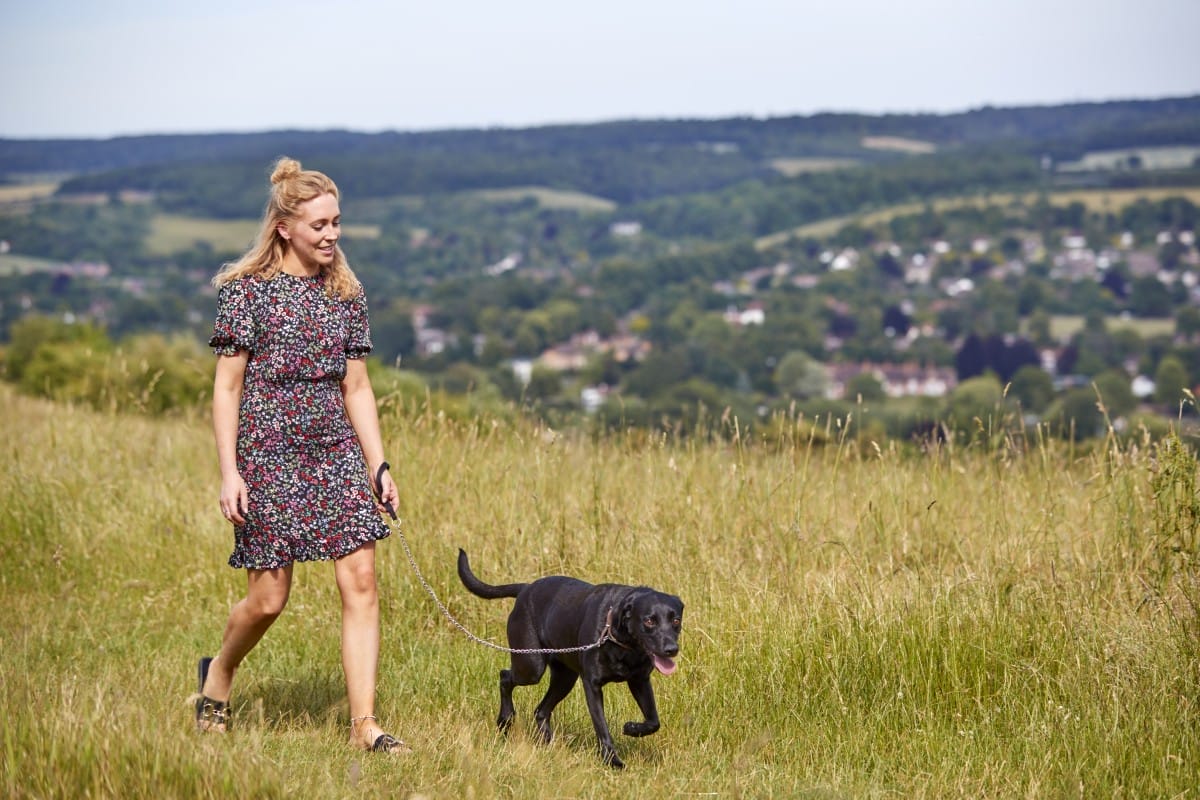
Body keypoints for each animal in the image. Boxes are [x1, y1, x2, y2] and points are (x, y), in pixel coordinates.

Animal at [458, 546, 686, 767]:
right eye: (649, 621)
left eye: (675, 620)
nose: (671, 649)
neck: (621, 641)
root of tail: (525, 589)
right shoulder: (592, 685)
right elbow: (602, 727)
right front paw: (613, 761)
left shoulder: (639, 680)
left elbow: (653, 721)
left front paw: (631, 728)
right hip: (531, 665)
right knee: (505, 677)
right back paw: (505, 720)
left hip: (565, 677)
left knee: (541, 710)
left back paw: (546, 742)